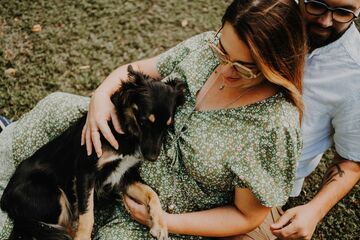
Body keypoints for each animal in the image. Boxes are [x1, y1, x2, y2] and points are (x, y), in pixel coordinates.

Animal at [0, 64, 186, 239]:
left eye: (168, 125)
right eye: (144, 121)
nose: (152, 157)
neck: (125, 132)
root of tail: (4, 199)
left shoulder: (122, 176)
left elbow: (152, 193)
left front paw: (160, 225)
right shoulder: (85, 172)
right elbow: (87, 215)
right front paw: (84, 235)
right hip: (54, 196)